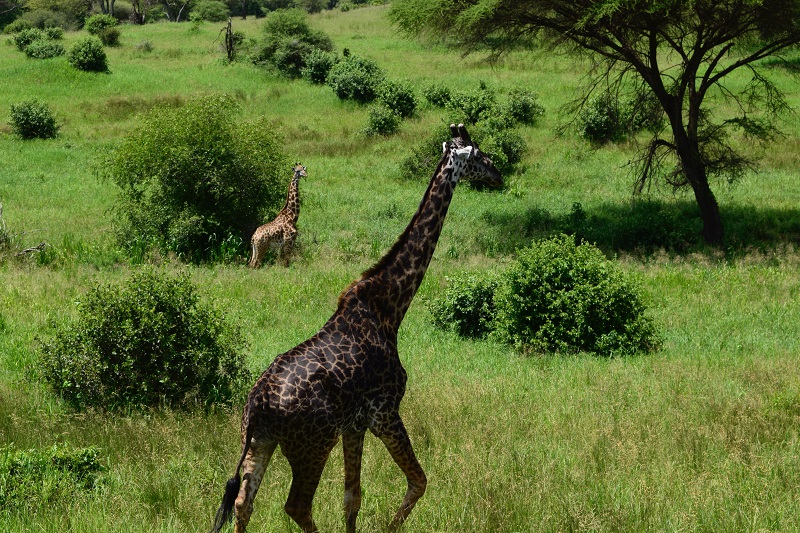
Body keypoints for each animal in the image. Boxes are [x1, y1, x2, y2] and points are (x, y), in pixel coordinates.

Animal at [212, 124, 502, 533]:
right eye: (479, 155)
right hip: (312, 445)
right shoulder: (384, 411)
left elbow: (352, 498)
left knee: (243, 502)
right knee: (297, 506)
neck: (390, 306)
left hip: (261, 442)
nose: (498, 174)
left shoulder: (355, 424)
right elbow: (418, 481)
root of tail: (257, 404)